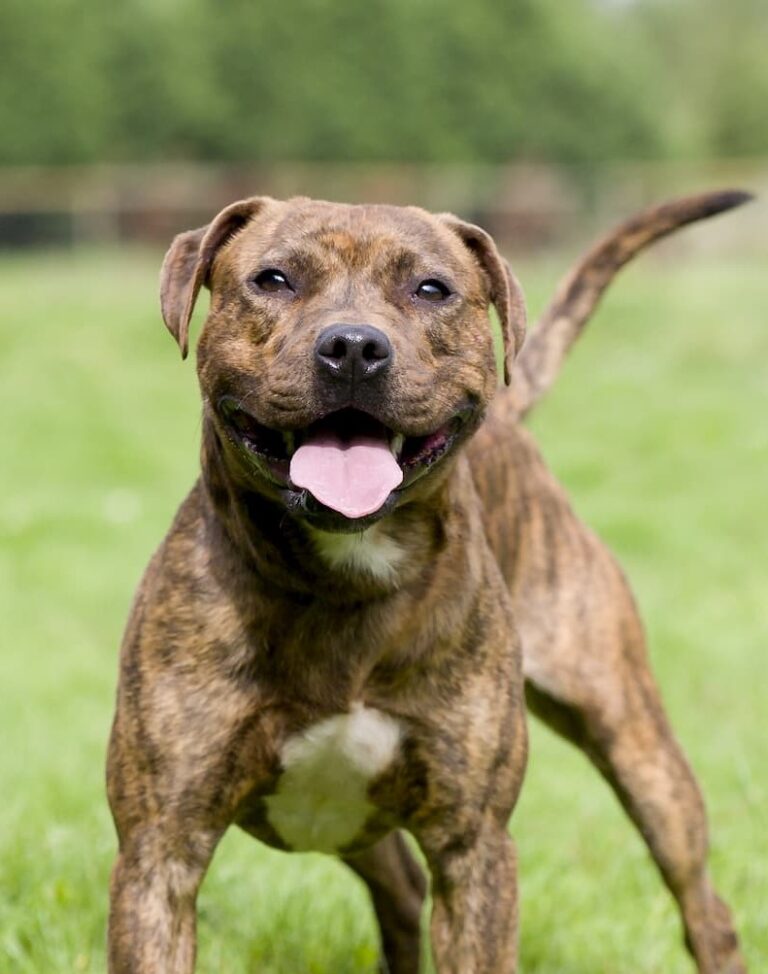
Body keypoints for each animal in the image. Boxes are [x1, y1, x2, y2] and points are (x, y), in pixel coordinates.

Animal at [106, 187, 752, 972]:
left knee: (701, 903)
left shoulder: (473, 848)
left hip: (636, 743)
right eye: (273, 280)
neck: (343, 577)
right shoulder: (160, 852)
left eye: (431, 289)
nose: (354, 346)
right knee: (400, 892)